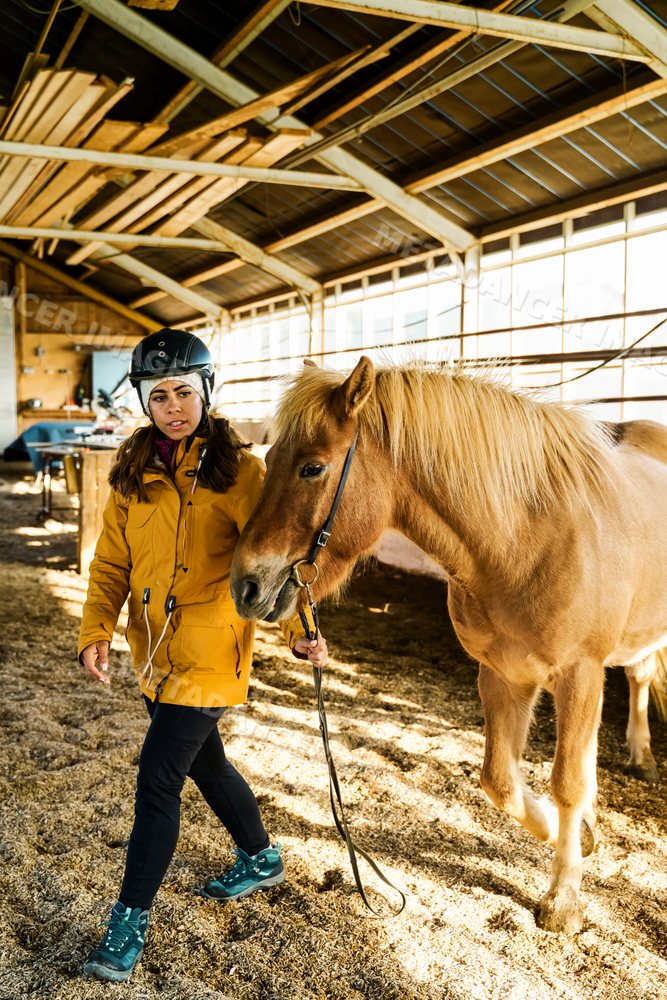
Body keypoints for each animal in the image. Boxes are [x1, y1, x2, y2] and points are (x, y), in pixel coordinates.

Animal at [230, 356, 667, 934]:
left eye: (312, 468)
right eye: (270, 456)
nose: (244, 585)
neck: (525, 540)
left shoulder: (580, 673)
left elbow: (567, 782)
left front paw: (564, 899)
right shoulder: (503, 674)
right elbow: (501, 782)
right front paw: (575, 836)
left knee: (639, 677)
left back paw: (641, 755)